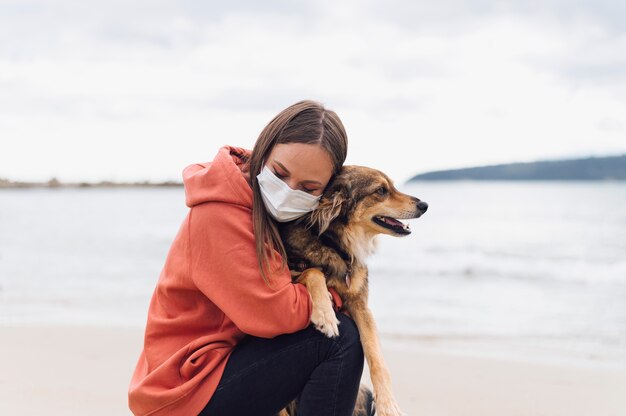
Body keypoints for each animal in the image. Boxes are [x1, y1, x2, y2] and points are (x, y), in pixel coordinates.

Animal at [276, 166, 426, 416]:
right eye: (381, 190)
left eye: (392, 186)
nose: (424, 205)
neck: (337, 246)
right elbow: (313, 272)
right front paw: (325, 314)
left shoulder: (360, 305)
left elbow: (376, 358)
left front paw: (388, 404)